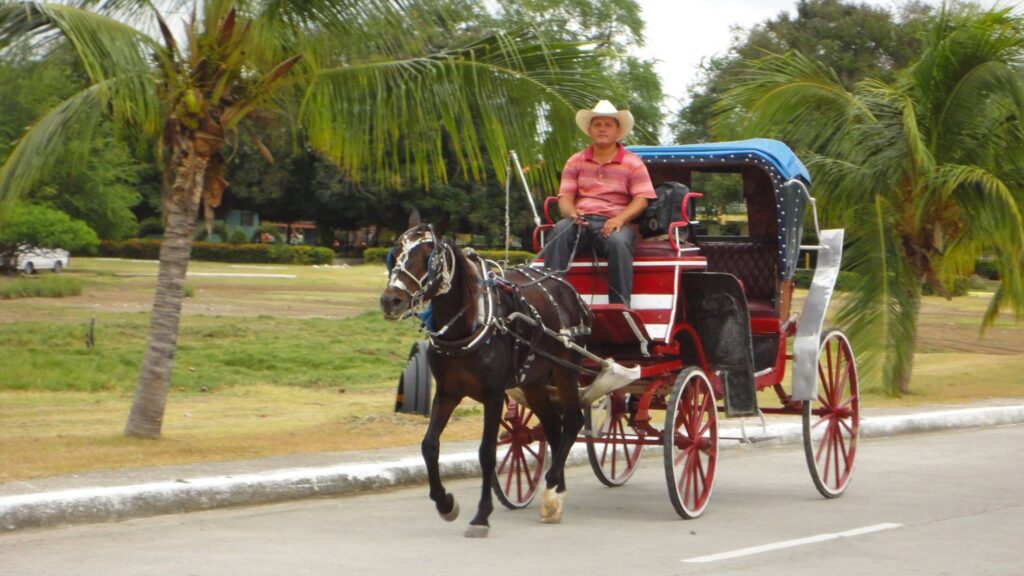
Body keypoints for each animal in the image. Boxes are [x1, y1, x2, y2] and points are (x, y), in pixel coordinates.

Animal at [380, 218, 593, 532]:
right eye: (394, 253)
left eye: (429, 257)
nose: (390, 301)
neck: (466, 325)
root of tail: (569, 290)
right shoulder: (447, 392)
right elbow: (429, 445)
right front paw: (445, 503)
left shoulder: (494, 395)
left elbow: (487, 453)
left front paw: (482, 515)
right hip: (533, 382)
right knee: (555, 428)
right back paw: (554, 495)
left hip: (566, 369)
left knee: (573, 422)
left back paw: (553, 487)